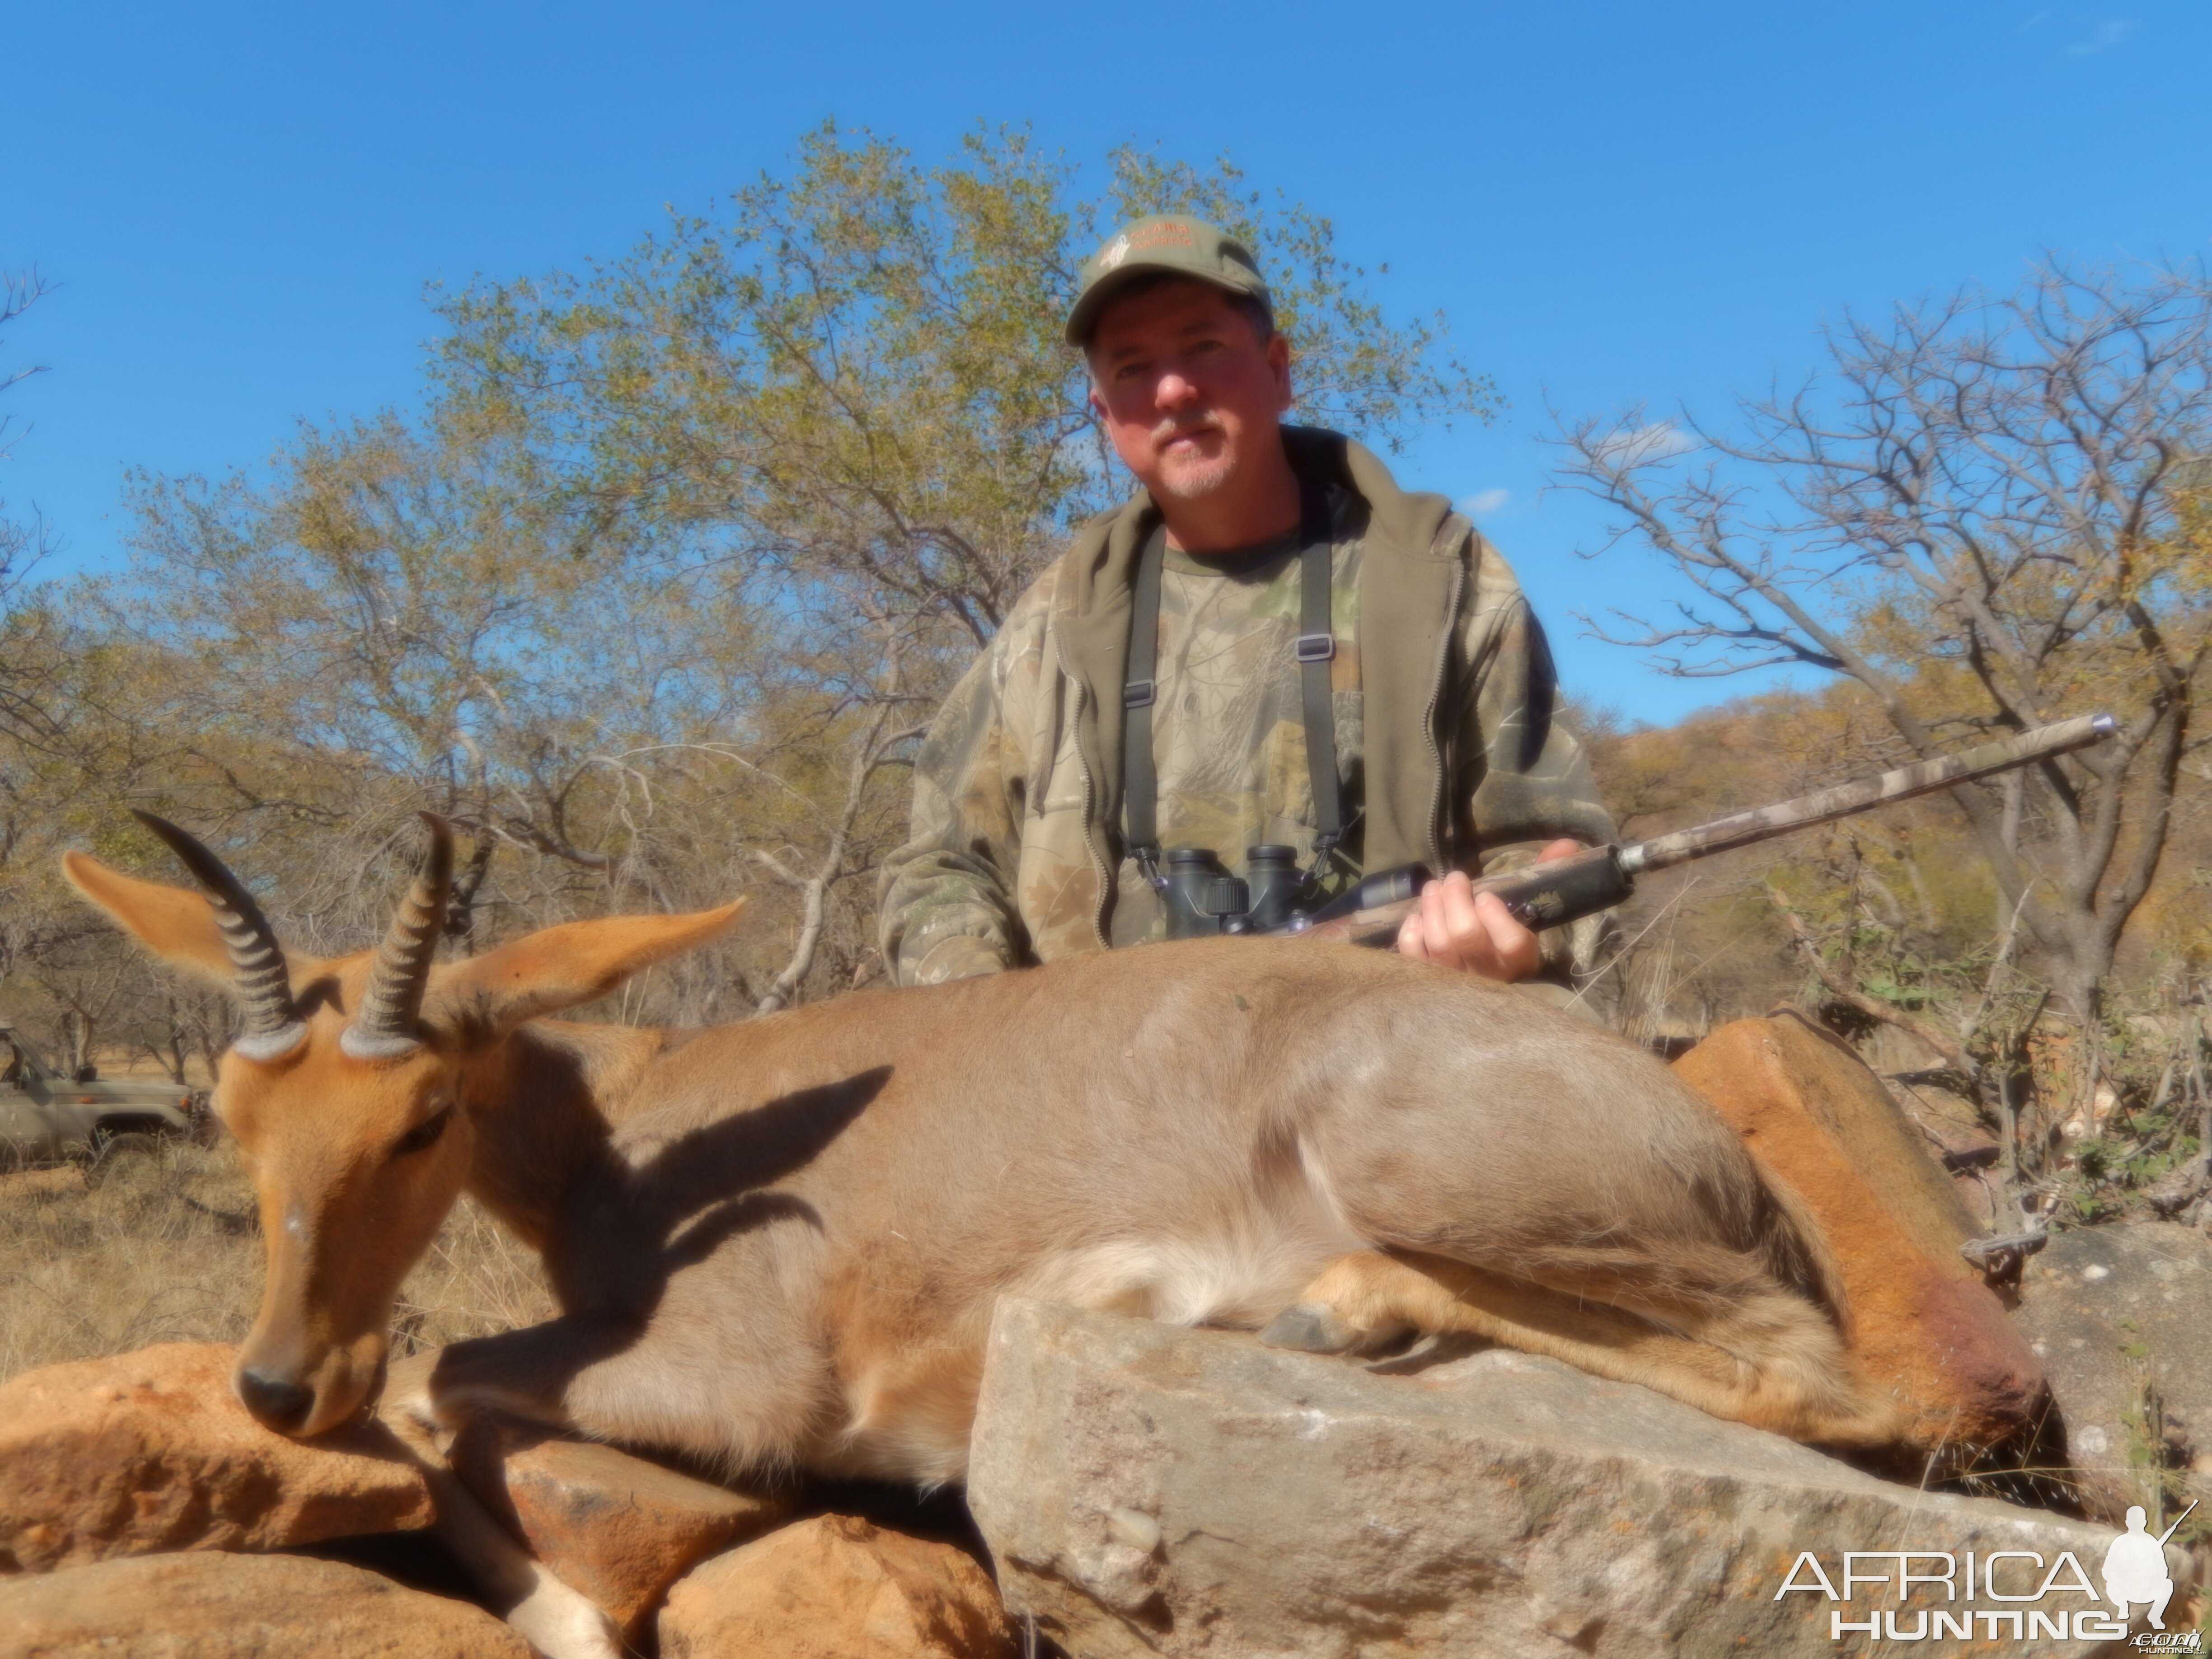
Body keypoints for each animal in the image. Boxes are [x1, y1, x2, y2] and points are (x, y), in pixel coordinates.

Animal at [69, 814, 1902, 1628]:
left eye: (421, 1113)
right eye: (234, 1112)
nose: (277, 1381)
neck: (633, 1130)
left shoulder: (748, 1390)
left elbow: (444, 1376)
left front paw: (567, 1616)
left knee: (1824, 1376)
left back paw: (1327, 1299)